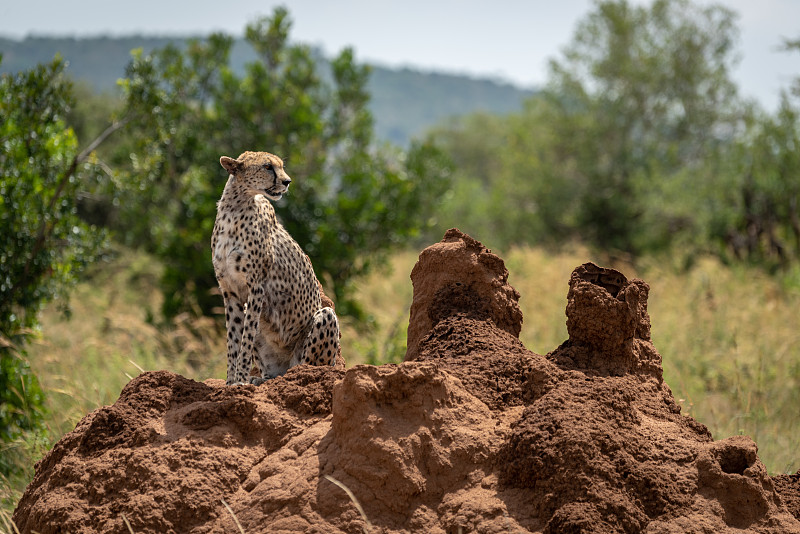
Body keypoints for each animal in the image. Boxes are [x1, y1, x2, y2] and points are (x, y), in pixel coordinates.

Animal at [211, 151, 340, 386]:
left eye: (281, 166)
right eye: (267, 167)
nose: (287, 181)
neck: (235, 206)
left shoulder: (256, 287)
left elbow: (245, 338)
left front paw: (240, 379)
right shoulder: (230, 291)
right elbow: (233, 339)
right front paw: (230, 382)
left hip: (324, 320)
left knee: (304, 367)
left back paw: (296, 376)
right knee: (272, 374)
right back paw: (261, 380)